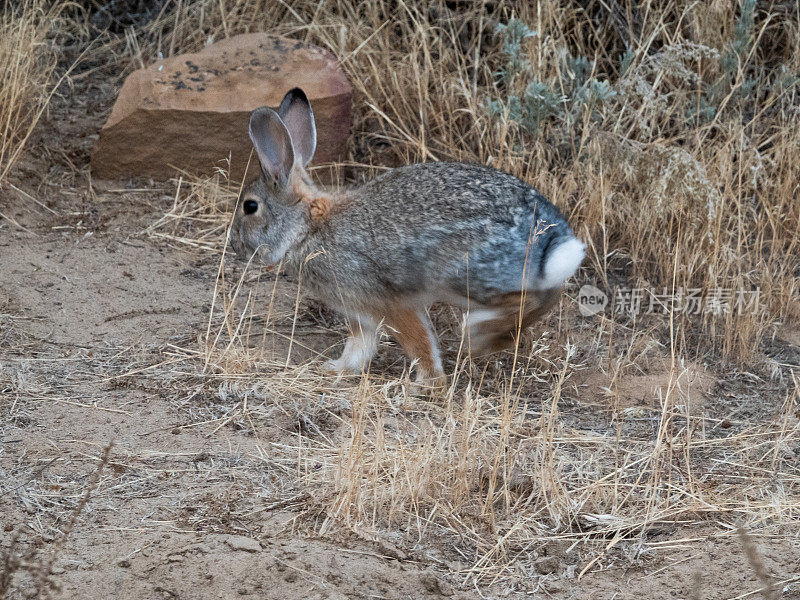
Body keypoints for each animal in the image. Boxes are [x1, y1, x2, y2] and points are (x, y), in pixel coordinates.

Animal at [228, 89, 584, 390]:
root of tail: (547, 240)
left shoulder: (387, 301)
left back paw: (479, 336)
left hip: (464, 273)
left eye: (250, 207)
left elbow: (419, 341)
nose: (235, 246)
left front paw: (427, 384)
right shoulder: (359, 313)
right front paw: (336, 369)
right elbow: (359, 346)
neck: (308, 228)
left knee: (528, 300)